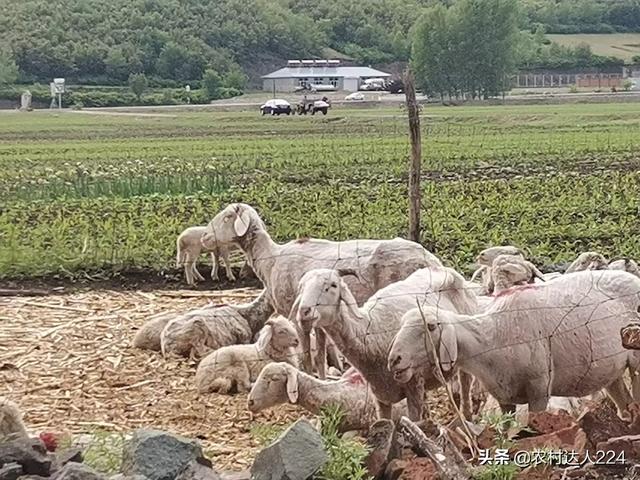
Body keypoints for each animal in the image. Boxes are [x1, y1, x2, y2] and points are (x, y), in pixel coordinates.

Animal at [202, 202, 442, 378]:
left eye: (227, 217)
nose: (204, 237)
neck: (270, 259)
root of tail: (432, 260)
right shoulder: (317, 318)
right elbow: (320, 353)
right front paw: (325, 376)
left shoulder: (295, 314)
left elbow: (307, 353)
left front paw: (309, 376)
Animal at [292, 266, 478, 420]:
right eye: (301, 287)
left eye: (332, 285)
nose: (304, 312)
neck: (371, 333)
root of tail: (444, 268)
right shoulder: (380, 395)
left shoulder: (413, 386)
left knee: (465, 385)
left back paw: (467, 417)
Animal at [388, 268, 640, 422]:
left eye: (430, 326)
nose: (394, 360)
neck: (492, 337)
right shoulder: (504, 397)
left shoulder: (539, 389)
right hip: (610, 369)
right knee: (624, 402)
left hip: (635, 359)